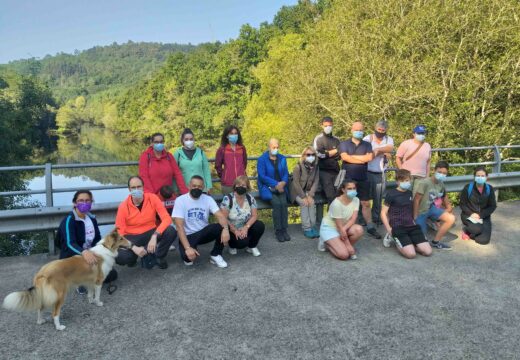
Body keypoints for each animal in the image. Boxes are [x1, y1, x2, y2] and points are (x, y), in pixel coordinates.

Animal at [2, 229, 131, 330]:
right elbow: (97, 295)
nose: (131, 243)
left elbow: (90, 294)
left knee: (40, 307)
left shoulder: (89, 281)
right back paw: (59, 327)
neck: (106, 248)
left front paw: (91, 302)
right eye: (121, 238)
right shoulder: (98, 281)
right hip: (60, 294)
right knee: (55, 313)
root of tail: (42, 272)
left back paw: (40, 321)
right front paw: (98, 303)